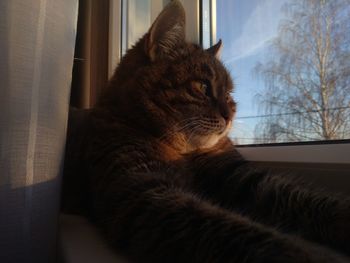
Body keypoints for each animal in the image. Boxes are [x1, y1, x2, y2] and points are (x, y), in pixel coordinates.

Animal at [62, 1, 350, 262]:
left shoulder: (241, 176)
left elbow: (303, 198)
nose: (230, 115)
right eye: (202, 86)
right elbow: (230, 231)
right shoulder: (145, 195)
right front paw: (303, 255)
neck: (184, 152)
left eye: (229, 94)